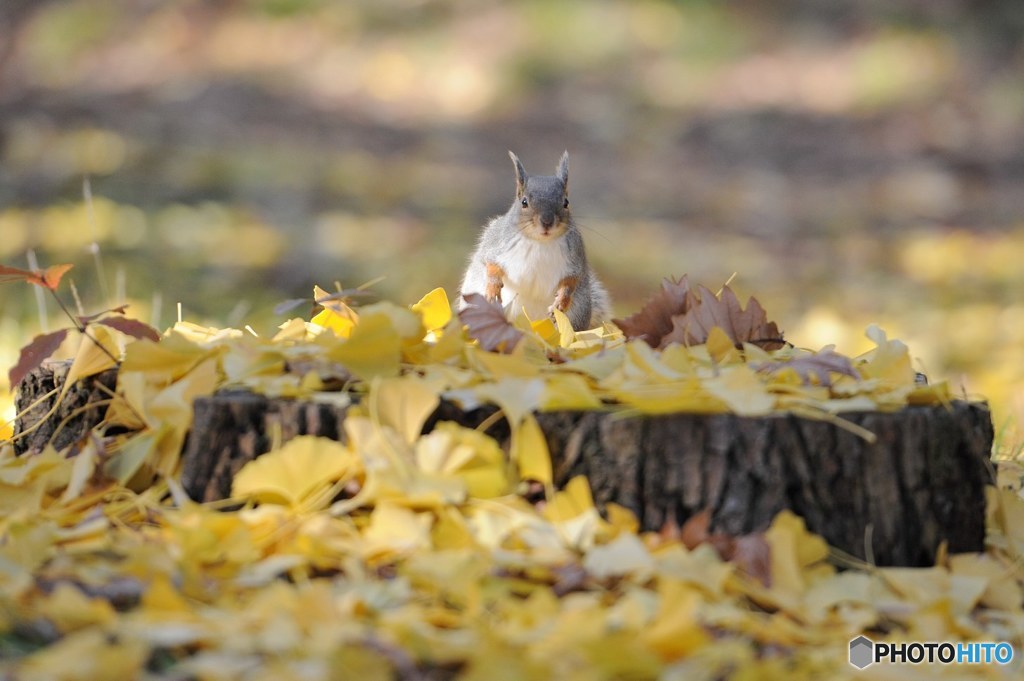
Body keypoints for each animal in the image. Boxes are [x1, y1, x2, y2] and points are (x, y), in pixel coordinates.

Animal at [460, 150, 610, 329]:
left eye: (566, 203)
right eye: (524, 202)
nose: (547, 222)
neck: (540, 242)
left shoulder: (575, 257)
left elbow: (571, 280)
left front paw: (561, 302)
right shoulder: (496, 244)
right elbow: (490, 264)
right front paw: (493, 289)